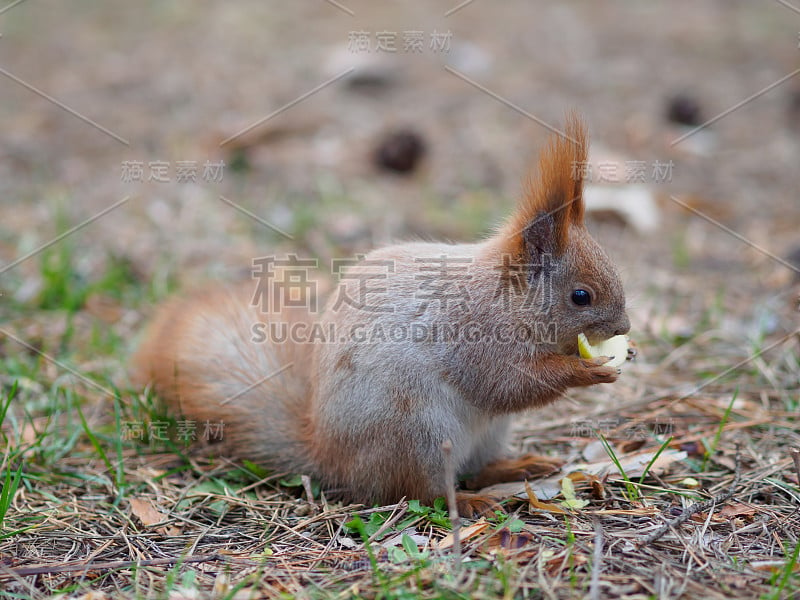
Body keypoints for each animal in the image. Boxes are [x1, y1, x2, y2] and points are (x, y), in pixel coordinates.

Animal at [133, 116, 632, 516]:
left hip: (484, 434)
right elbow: (505, 384)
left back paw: (518, 465)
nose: (624, 329)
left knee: (476, 467)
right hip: (419, 435)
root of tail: (330, 455)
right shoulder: (473, 334)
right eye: (581, 296)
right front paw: (588, 370)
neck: (507, 297)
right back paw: (470, 503)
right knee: (423, 491)